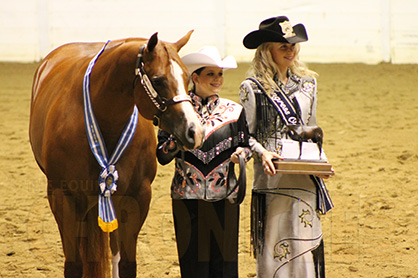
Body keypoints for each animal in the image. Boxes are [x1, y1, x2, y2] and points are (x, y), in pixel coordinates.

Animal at [28, 31, 205, 276]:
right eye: (158, 80)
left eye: (187, 78)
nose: (194, 131)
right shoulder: (63, 199)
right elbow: (74, 266)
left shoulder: (137, 197)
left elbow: (127, 264)